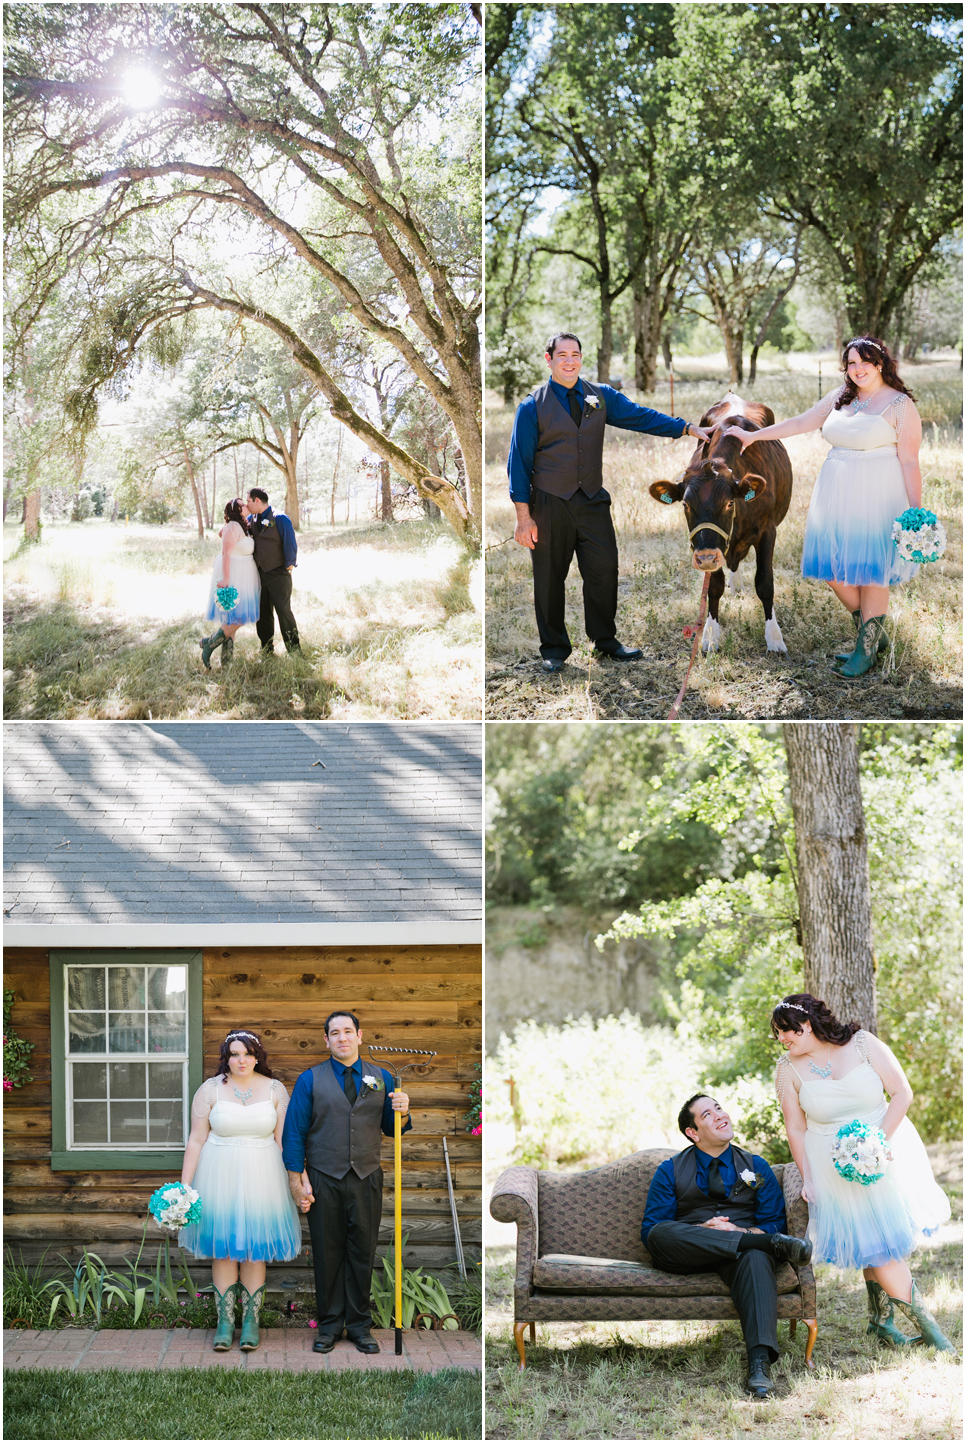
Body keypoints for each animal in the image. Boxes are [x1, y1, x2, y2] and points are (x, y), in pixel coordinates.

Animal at [646, 389, 791, 649]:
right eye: (685, 504)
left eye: (729, 503)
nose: (705, 558)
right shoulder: (710, 548)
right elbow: (713, 587)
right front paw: (710, 635)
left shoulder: (767, 531)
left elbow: (765, 583)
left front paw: (774, 637)